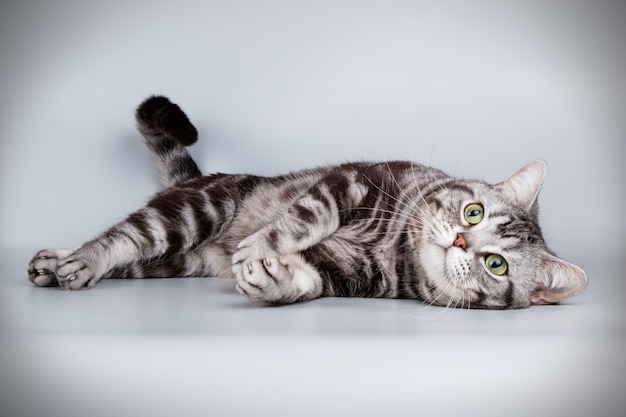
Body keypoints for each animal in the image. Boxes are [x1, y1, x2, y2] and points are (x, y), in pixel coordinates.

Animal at [28, 96, 584, 308]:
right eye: (473, 212)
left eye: (496, 264)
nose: (462, 241)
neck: (399, 250)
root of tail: (200, 179)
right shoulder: (352, 183)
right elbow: (304, 217)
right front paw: (257, 249)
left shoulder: (349, 274)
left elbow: (306, 281)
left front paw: (268, 274)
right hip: (194, 211)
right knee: (122, 238)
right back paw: (76, 260)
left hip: (177, 260)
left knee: (132, 255)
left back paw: (54, 265)